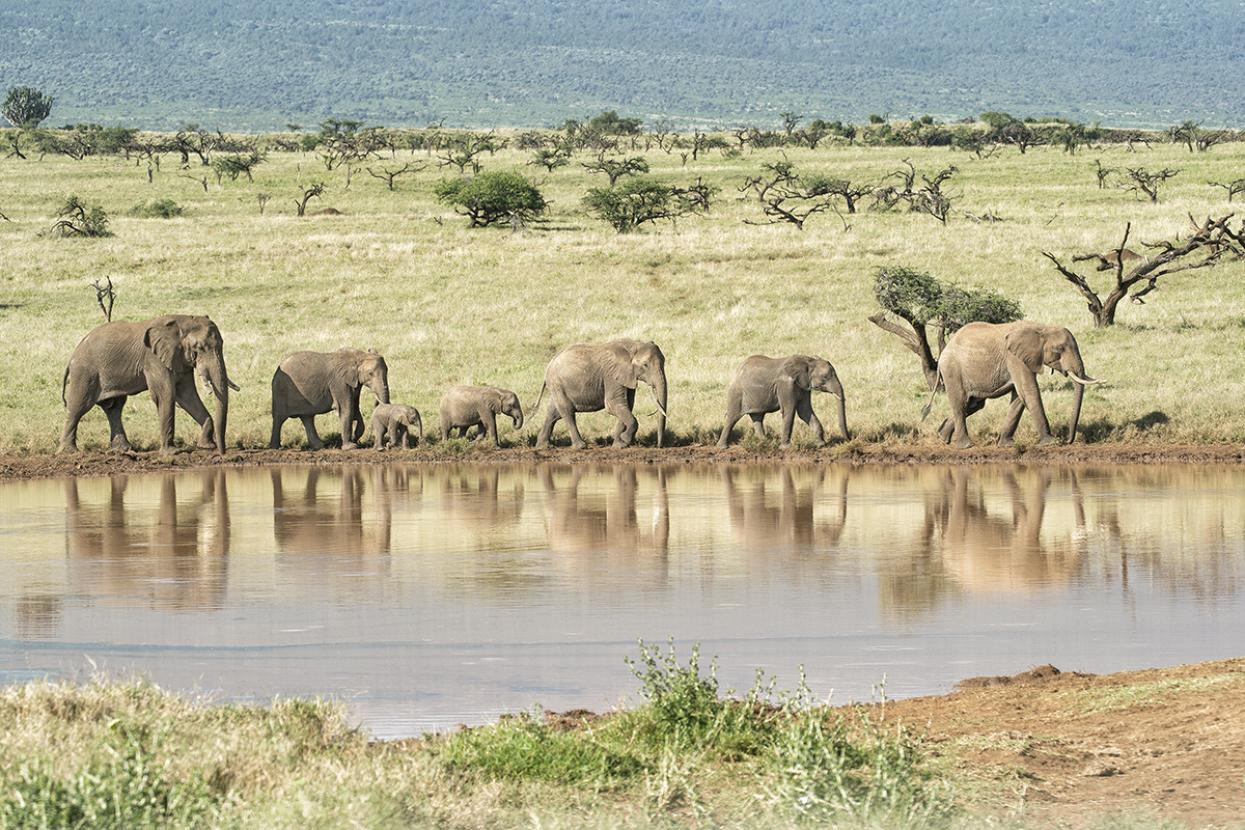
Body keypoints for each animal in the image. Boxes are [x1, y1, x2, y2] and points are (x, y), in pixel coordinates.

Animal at [60, 315, 237, 454]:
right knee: (78, 406)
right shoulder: (153, 359)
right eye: (199, 348)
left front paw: (206, 447)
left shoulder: (180, 360)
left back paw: (124, 449)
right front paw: (172, 453)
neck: (183, 321)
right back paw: (70, 452)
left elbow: (187, 396)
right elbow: (166, 395)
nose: (222, 453)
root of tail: (72, 355)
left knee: (114, 407)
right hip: (85, 373)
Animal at [534, 338, 667, 449]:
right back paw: (581, 446)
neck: (633, 345)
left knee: (553, 412)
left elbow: (627, 405)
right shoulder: (612, 376)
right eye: (645, 365)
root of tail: (550, 363)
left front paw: (619, 444)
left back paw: (544, 446)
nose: (659, 446)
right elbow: (613, 404)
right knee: (567, 411)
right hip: (558, 383)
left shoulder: (627, 377)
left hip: (557, 385)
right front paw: (624, 440)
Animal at [717, 355, 848, 447]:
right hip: (737, 393)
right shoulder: (785, 385)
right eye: (825, 377)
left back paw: (765, 443)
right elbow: (789, 410)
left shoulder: (803, 386)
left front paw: (821, 445)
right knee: (732, 417)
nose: (848, 439)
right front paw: (785, 447)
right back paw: (722, 447)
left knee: (757, 417)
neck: (808, 360)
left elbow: (805, 411)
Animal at [923, 321, 1100, 448]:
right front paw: (1051, 442)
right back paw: (966, 446)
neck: (1041, 327)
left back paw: (942, 437)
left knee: (973, 404)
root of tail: (943, 353)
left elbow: (1019, 397)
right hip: (952, 371)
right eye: (1059, 349)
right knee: (961, 404)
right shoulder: (1014, 358)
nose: (1068, 440)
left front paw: (1007, 445)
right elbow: (1028, 391)